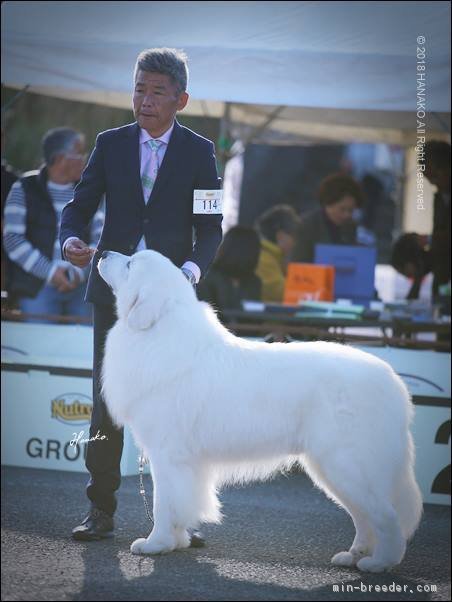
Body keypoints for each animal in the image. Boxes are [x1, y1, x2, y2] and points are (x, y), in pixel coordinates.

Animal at [97, 250, 422, 572]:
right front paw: (177, 542)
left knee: (387, 516)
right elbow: (182, 503)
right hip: (332, 469)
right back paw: (353, 556)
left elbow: (163, 503)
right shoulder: (185, 462)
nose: (102, 252)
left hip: (347, 463)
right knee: (364, 517)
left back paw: (379, 563)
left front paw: (157, 544)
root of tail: (395, 383)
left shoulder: (167, 454)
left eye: (130, 264)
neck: (159, 330)